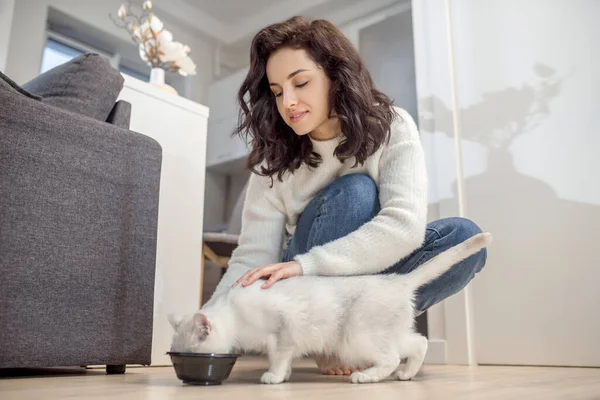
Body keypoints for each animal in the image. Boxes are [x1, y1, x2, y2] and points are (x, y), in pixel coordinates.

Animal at [169, 231, 492, 384]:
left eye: (189, 354)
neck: (234, 313)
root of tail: (398, 280)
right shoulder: (284, 339)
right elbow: (284, 360)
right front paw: (285, 375)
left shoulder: (284, 330)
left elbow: (278, 357)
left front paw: (274, 377)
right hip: (386, 334)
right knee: (419, 343)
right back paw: (407, 374)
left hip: (356, 337)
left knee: (391, 358)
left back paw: (366, 377)